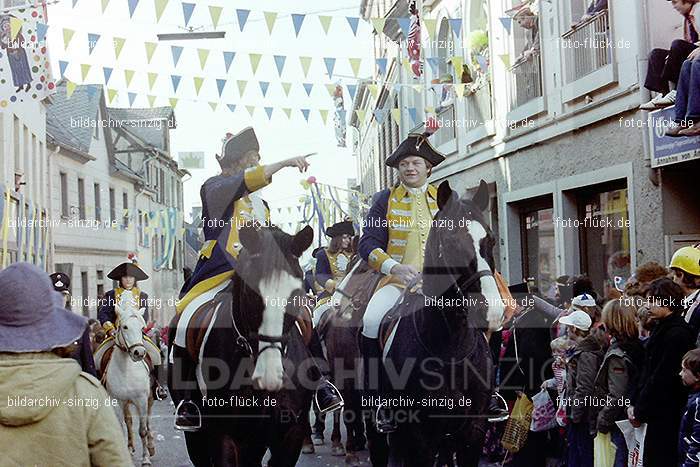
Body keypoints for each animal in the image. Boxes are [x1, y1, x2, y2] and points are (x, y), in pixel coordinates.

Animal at [101, 294, 156, 466]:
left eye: (142, 328)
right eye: (124, 327)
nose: (139, 352)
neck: (126, 370)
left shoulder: (141, 400)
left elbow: (143, 430)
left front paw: (145, 458)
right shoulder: (116, 401)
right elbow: (122, 427)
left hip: (149, 399)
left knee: (148, 422)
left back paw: (151, 447)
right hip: (125, 403)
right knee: (129, 421)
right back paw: (130, 447)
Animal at [370, 180, 506, 467]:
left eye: (489, 238)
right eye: (451, 238)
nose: (491, 311)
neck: (451, 350)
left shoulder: (472, 433)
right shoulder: (421, 438)